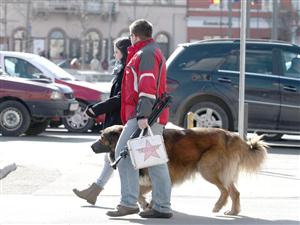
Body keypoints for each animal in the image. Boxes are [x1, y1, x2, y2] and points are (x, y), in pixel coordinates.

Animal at [97, 125, 268, 215]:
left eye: (102, 138)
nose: (92, 146)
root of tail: (232, 136)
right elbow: (140, 192)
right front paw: (147, 204)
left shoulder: (159, 176)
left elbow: (144, 192)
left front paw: (150, 206)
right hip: (221, 172)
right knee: (234, 192)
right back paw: (233, 211)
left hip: (206, 168)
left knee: (225, 190)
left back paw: (218, 206)